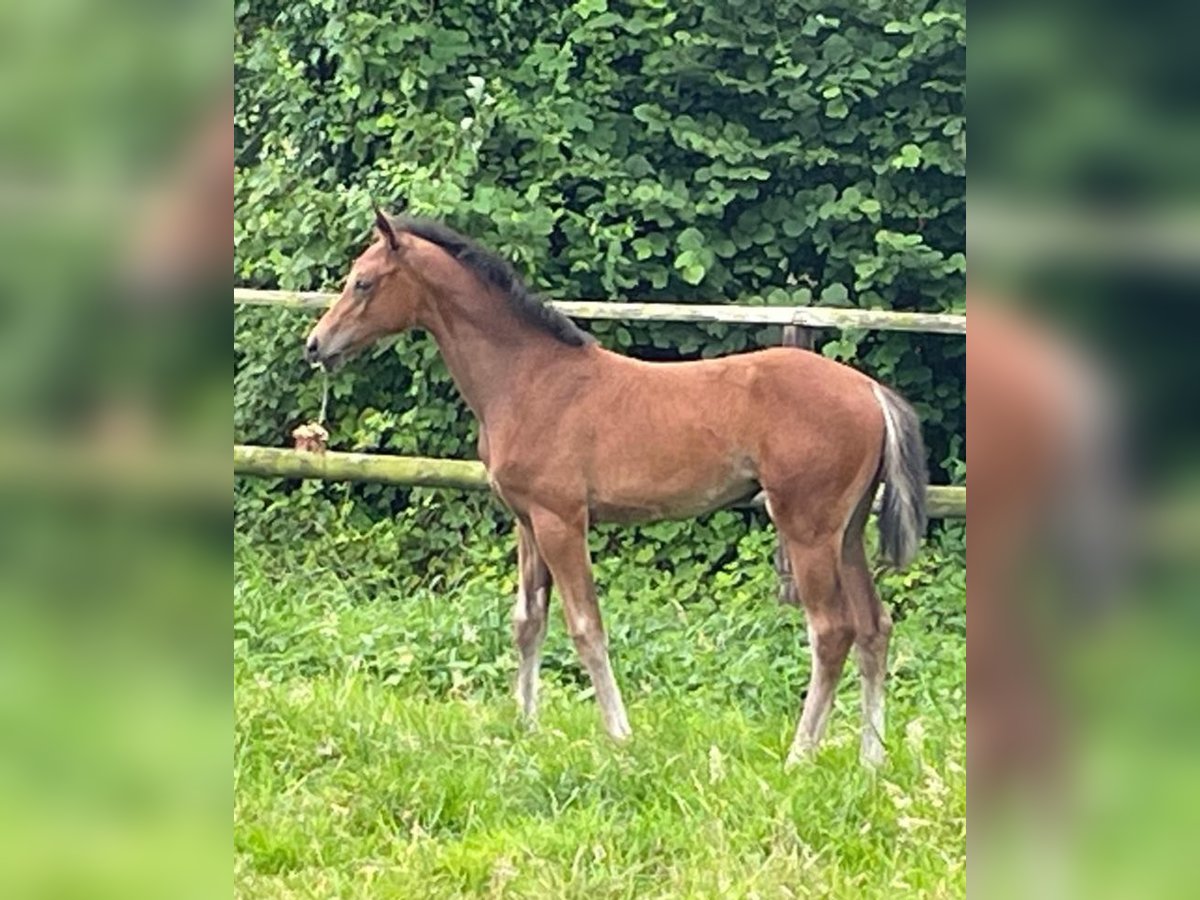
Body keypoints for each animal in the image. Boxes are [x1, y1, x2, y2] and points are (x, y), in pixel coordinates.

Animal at [304, 211, 921, 768]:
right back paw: (872, 759)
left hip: (806, 528)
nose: (316, 345)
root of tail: (871, 391)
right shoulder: (527, 521)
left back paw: (799, 755)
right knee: (875, 627)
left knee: (832, 631)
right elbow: (528, 622)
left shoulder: (561, 520)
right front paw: (524, 728)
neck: (531, 379)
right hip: (847, 533)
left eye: (363, 281)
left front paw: (619, 736)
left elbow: (585, 627)